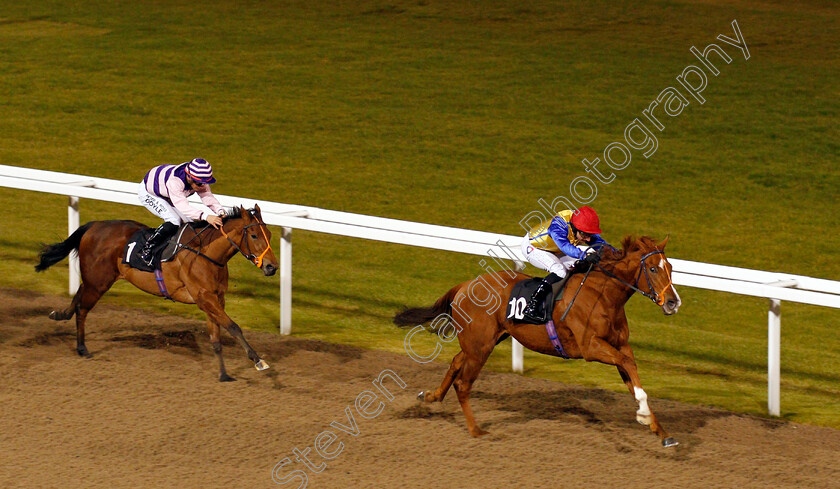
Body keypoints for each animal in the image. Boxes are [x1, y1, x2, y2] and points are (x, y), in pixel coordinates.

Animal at [36, 203, 278, 382]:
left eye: (269, 233)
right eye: (254, 235)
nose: (271, 267)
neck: (207, 253)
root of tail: (94, 225)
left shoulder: (215, 298)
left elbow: (216, 337)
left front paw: (224, 374)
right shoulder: (204, 298)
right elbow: (233, 327)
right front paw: (259, 361)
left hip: (95, 279)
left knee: (78, 296)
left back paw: (60, 315)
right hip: (98, 282)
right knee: (82, 309)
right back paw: (82, 348)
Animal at [396, 235, 684, 446]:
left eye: (670, 267)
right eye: (652, 268)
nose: (673, 302)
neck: (604, 295)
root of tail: (465, 285)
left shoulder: (619, 345)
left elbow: (631, 371)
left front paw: (660, 430)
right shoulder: (591, 347)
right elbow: (626, 363)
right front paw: (644, 416)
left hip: (485, 341)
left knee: (456, 362)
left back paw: (431, 396)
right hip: (480, 347)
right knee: (463, 384)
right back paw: (476, 430)